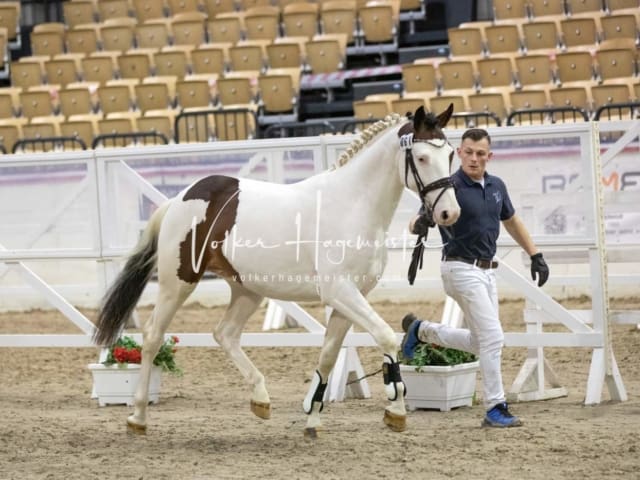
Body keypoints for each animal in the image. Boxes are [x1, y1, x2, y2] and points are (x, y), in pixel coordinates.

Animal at [92, 104, 458, 436]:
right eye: (421, 158)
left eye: (451, 154)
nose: (449, 213)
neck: (352, 204)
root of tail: (179, 199)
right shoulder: (340, 291)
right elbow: (384, 334)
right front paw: (395, 409)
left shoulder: (350, 298)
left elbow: (328, 356)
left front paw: (313, 419)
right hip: (177, 282)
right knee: (153, 336)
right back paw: (138, 417)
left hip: (246, 290)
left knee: (225, 334)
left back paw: (261, 399)